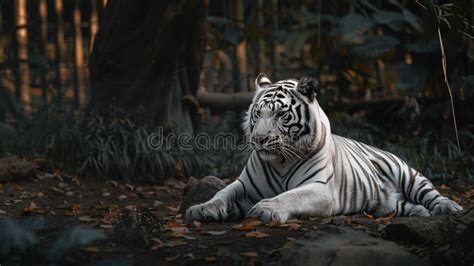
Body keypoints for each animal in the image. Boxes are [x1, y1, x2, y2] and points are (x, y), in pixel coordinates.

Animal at [185, 72, 462, 222]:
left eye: (280, 115)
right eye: (257, 114)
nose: (259, 139)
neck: (281, 160)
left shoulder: (320, 188)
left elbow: (290, 195)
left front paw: (266, 208)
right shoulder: (244, 184)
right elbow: (222, 193)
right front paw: (202, 208)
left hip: (407, 173)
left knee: (430, 192)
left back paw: (448, 208)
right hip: (386, 203)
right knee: (402, 205)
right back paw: (419, 213)